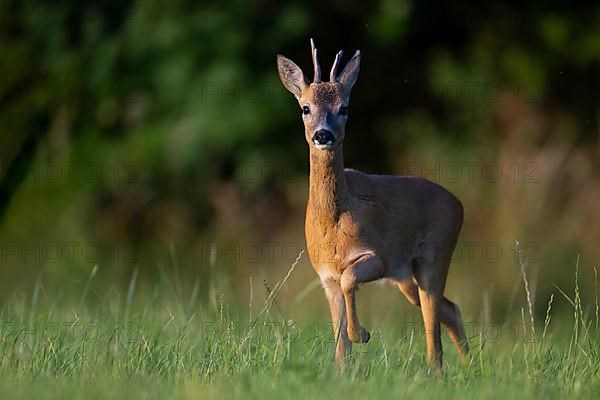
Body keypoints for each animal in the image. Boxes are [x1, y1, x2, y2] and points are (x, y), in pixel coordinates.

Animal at [276, 39, 468, 368]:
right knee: (451, 309)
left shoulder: (379, 256)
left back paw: (439, 369)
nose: (323, 135)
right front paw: (342, 367)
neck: (333, 225)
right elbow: (339, 338)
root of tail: (458, 204)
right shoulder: (326, 276)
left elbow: (350, 280)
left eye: (343, 108)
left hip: (434, 256)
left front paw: (363, 334)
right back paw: (470, 366)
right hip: (407, 277)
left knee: (434, 323)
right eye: (305, 108)